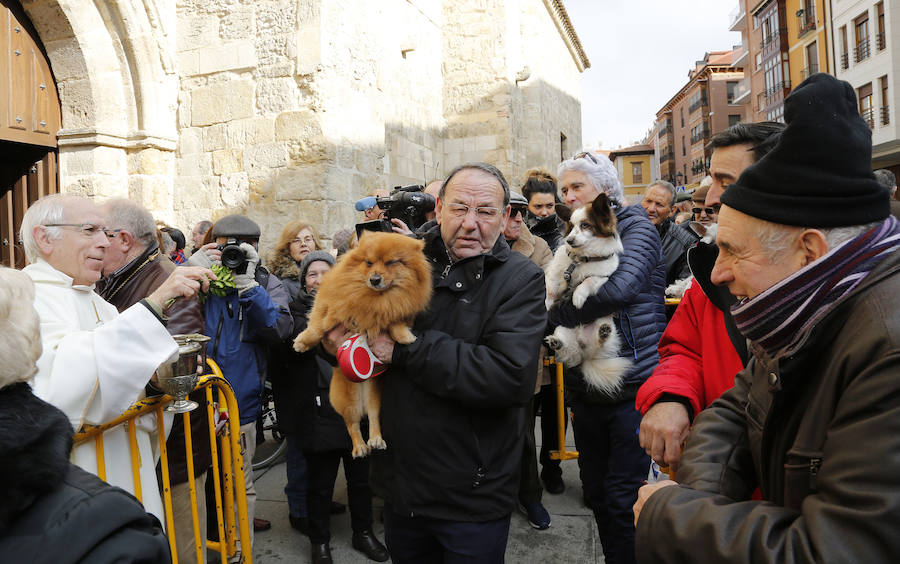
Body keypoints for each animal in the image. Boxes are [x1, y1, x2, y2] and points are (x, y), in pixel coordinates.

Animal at [292, 231, 432, 456]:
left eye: (391, 263)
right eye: (368, 263)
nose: (375, 279)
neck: (374, 298)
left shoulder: (396, 310)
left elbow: (394, 323)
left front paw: (404, 336)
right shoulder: (329, 305)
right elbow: (318, 326)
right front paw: (303, 342)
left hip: (375, 395)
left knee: (373, 417)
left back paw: (375, 440)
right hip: (347, 400)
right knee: (352, 424)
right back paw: (359, 447)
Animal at [540, 192, 632, 394]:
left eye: (585, 225)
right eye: (571, 227)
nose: (569, 240)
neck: (582, 259)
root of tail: (584, 353)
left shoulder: (603, 276)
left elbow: (589, 281)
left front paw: (578, 297)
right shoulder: (557, 273)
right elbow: (550, 289)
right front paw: (547, 304)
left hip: (608, 328)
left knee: (599, 345)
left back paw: (602, 334)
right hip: (562, 330)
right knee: (570, 353)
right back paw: (557, 343)